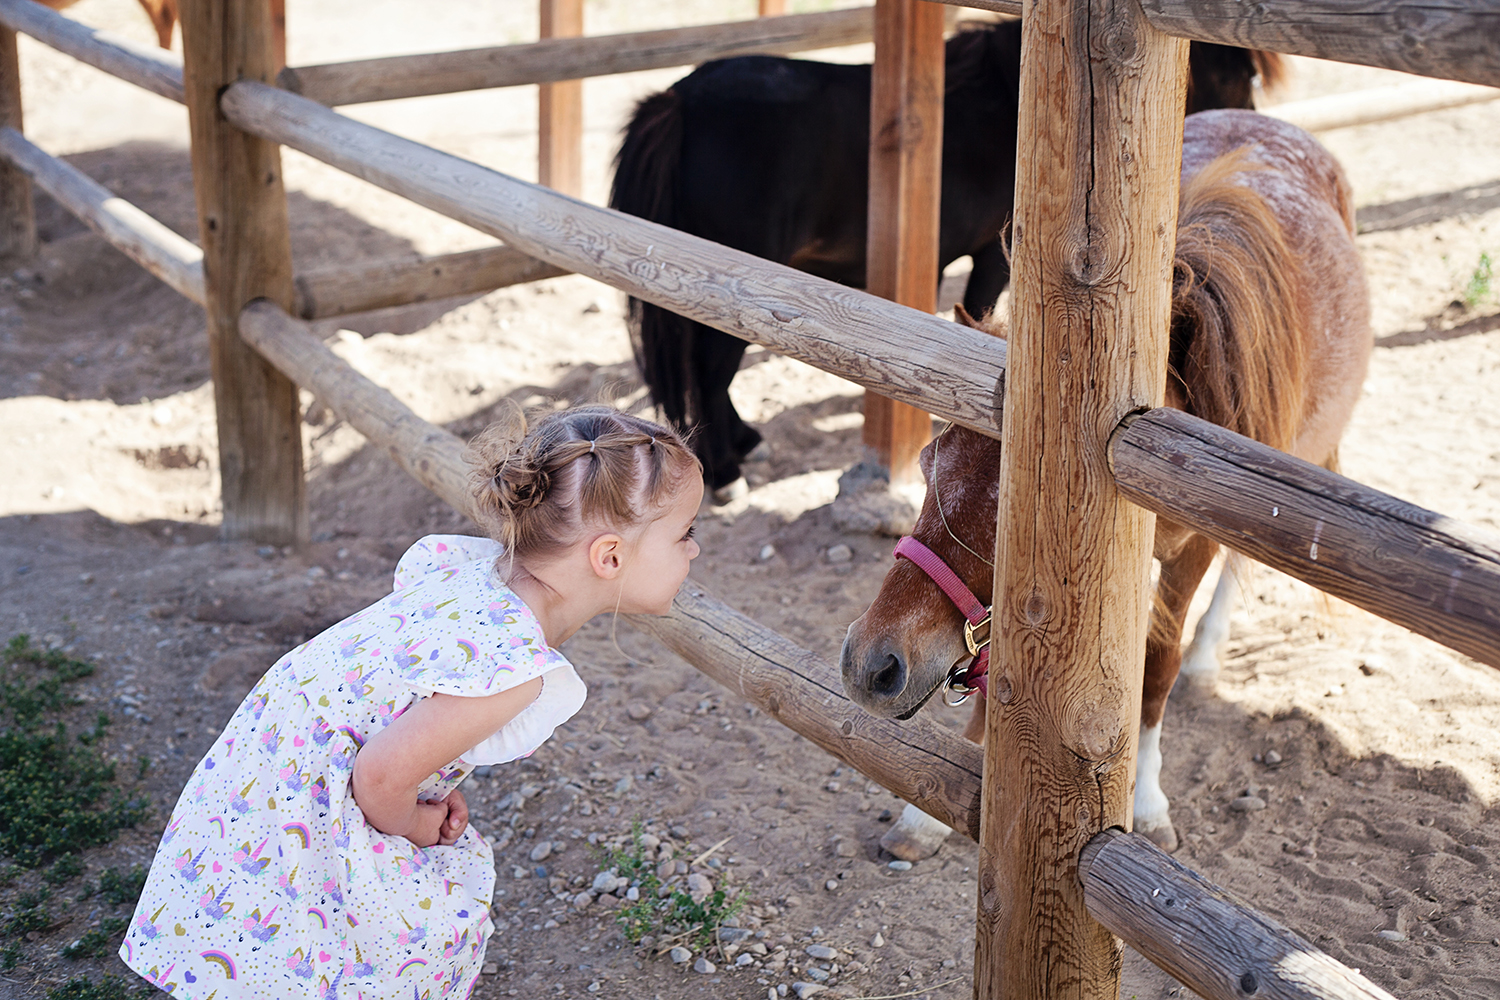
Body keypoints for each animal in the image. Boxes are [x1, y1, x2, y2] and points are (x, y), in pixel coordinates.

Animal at [612, 25, 1290, 500]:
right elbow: (981, 319)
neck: (1007, 110)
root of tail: (676, 102)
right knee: (710, 367)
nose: (1254, 138)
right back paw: (727, 471)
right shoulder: (992, 256)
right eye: (1234, 72)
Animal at [846, 111, 1374, 863]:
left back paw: (1209, 657)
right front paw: (927, 814)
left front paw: (1147, 802)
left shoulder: (1194, 548)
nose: (873, 663)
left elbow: (1157, 667)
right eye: (927, 465)